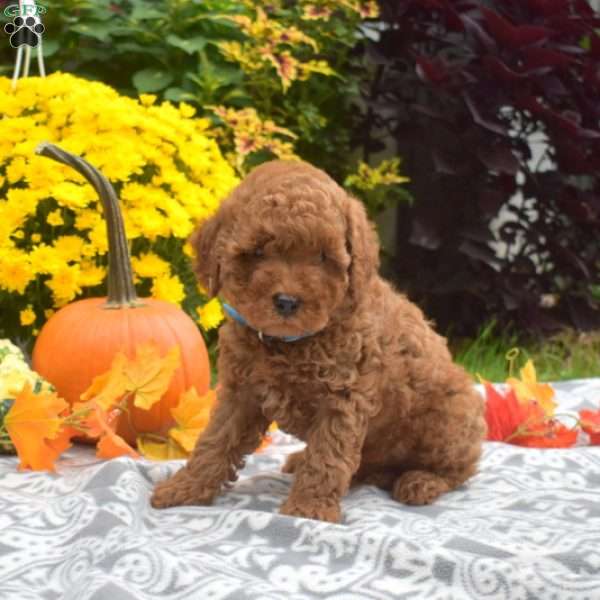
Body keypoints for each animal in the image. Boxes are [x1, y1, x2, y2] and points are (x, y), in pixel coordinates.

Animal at [151, 162, 488, 524]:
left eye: (322, 257)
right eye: (257, 252)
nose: (286, 302)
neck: (289, 343)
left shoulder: (343, 398)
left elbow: (328, 455)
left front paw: (308, 510)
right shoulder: (240, 393)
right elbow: (214, 441)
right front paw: (183, 489)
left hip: (452, 419)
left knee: (459, 470)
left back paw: (420, 482)